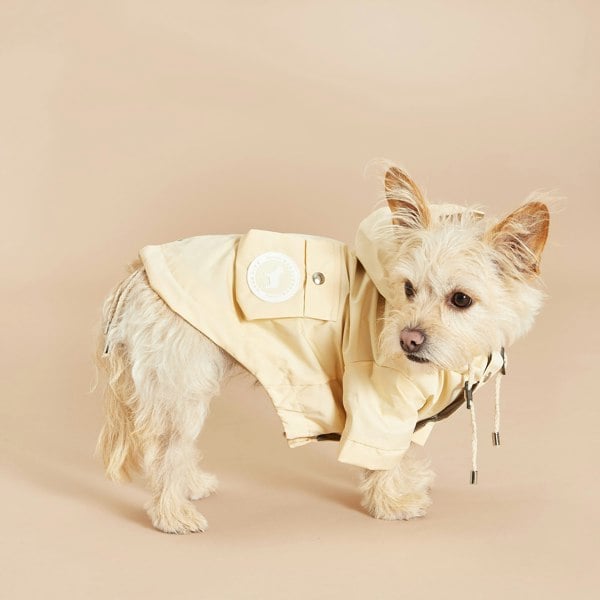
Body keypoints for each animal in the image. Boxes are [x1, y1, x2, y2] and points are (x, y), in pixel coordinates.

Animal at [96, 166, 552, 532]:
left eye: (460, 300)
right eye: (407, 289)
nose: (408, 340)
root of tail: (138, 273)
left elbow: (400, 451)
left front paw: (406, 483)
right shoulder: (377, 401)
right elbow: (381, 454)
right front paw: (391, 502)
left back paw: (190, 486)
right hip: (182, 388)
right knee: (166, 450)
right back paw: (171, 513)